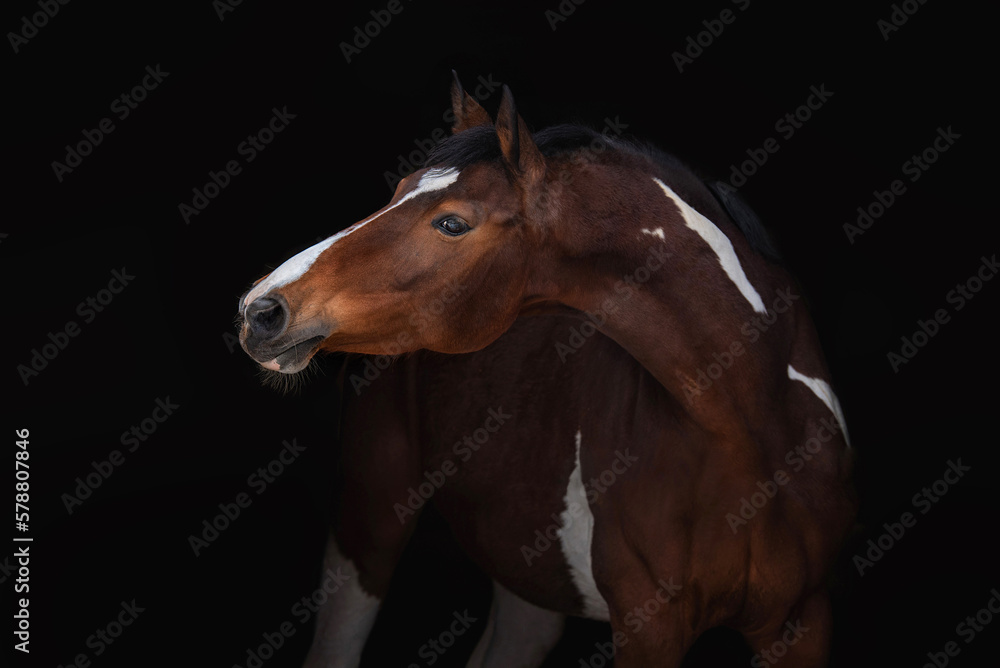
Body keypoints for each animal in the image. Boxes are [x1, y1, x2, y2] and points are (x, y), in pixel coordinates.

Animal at [236, 73, 857, 667]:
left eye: (452, 224)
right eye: (395, 191)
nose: (260, 309)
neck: (755, 426)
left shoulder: (803, 622)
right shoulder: (649, 626)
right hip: (368, 521)